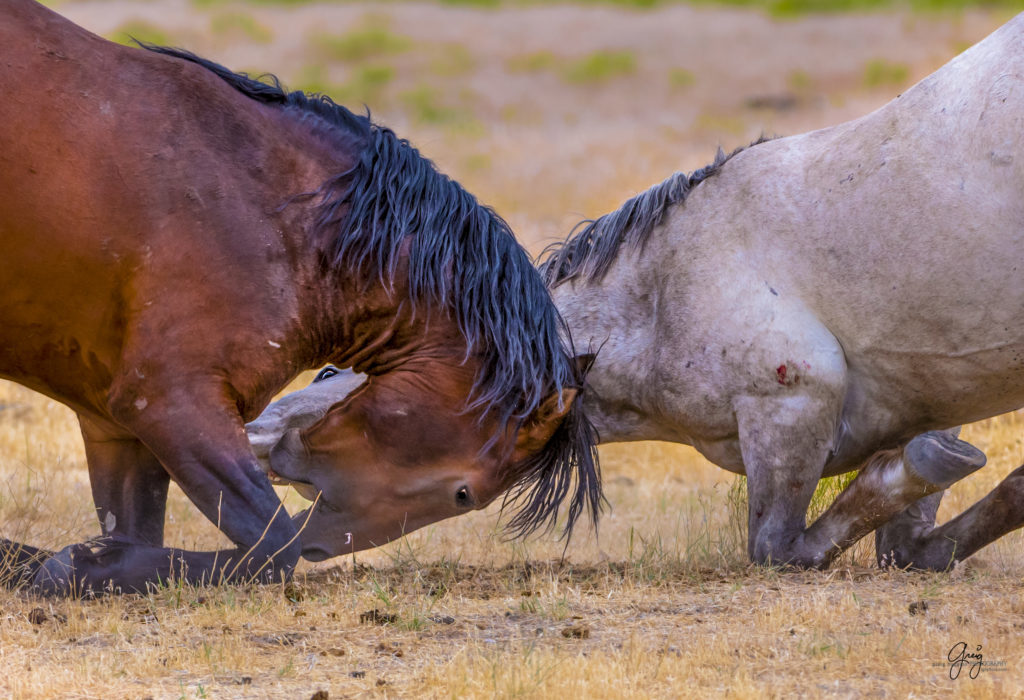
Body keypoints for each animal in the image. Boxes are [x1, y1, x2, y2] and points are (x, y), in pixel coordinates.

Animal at [0, 0, 598, 593]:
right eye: (463, 493)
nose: (323, 547)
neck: (286, 221)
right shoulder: (170, 402)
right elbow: (272, 547)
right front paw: (63, 565)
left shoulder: (116, 429)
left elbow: (139, 533)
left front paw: (68, 563)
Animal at [249, 15, 1024, 569]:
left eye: (331, 372)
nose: (258, 437)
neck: (658, 297)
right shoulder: (942, 392)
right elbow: (942, 523)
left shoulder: (792, 404)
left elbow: (785, 546)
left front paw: (908, 479)